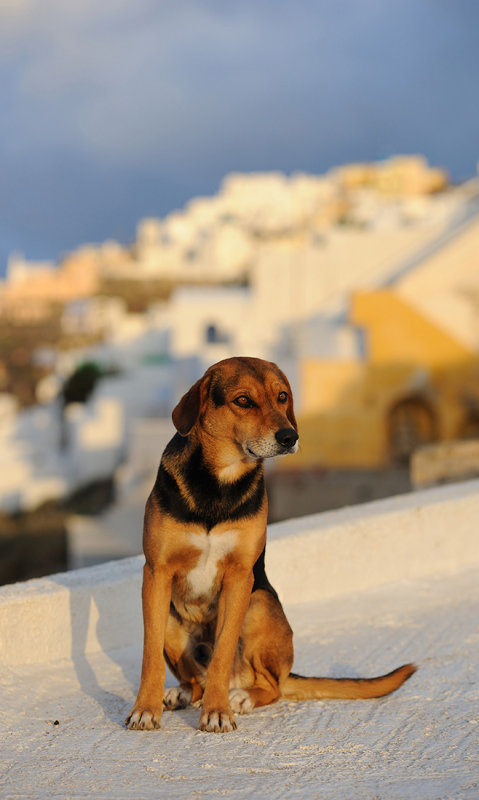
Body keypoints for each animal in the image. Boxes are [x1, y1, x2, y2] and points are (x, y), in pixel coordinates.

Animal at [126, 360, 416, 736]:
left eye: (282, 397)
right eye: (243, 400)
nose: (290, 437)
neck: (219, 483)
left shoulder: (240, 577)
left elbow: (221, 654)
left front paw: (218, 712)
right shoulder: (156, 573)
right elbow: (149, 656)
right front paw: (145, 709)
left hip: (259, 605)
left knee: (270, 686)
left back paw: (240, 697)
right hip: (174, 622)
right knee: (196, 681)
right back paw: (182, 693)